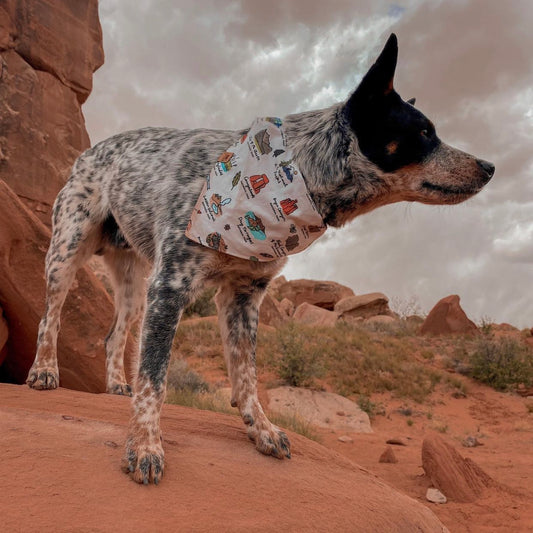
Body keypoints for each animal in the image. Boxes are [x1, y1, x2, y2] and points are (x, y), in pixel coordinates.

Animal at [23, 32, 490, 482]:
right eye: (425, 133)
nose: (489, 167)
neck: (295, 172)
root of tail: (91, 150)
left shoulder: (245, 296)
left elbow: (246, 374)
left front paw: (260, 428)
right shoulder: (170, 288)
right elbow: (154, 379)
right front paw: (144, 446)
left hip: (135, 287)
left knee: (114, 335)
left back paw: (116, 384)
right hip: (67, 253)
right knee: (51, 318)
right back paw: (44, 372)